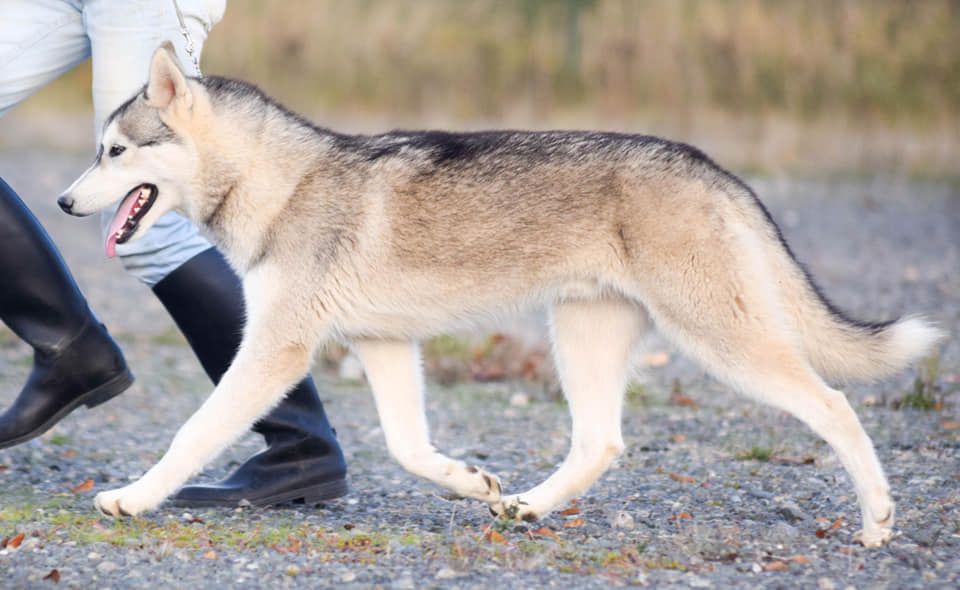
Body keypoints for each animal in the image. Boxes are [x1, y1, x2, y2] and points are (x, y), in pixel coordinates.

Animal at [62, 44, 944, 548]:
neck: (279, 185)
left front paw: (133, 498)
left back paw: (877, 521)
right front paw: (469, 483)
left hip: (722, 343)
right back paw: (525, 509)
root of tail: (711, 167)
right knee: (600, 444)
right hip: (583, 338)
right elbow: (408, 448)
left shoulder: (277, 350)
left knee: (835, 405)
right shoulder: (384, 346)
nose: (67, 203)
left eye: (114, 152)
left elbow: (192, 435)